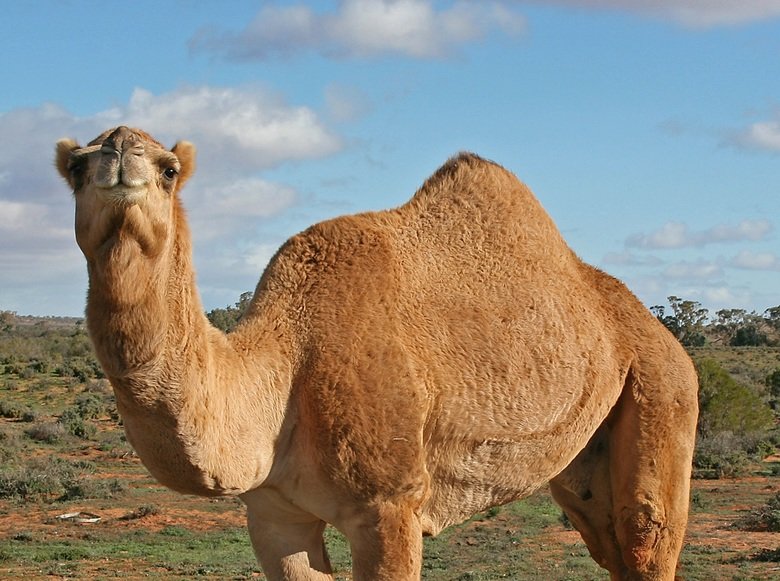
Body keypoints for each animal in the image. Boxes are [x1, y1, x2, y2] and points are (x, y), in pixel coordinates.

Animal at [56, 126, 698, 581]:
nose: (119, 149)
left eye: (169, 169)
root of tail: (660, 333)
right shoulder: (273, 513)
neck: (282, 368)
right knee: (610, 542)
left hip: (662, 388)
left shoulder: (388, 504)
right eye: (76, 166)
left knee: (647, 532)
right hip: (584, 452)